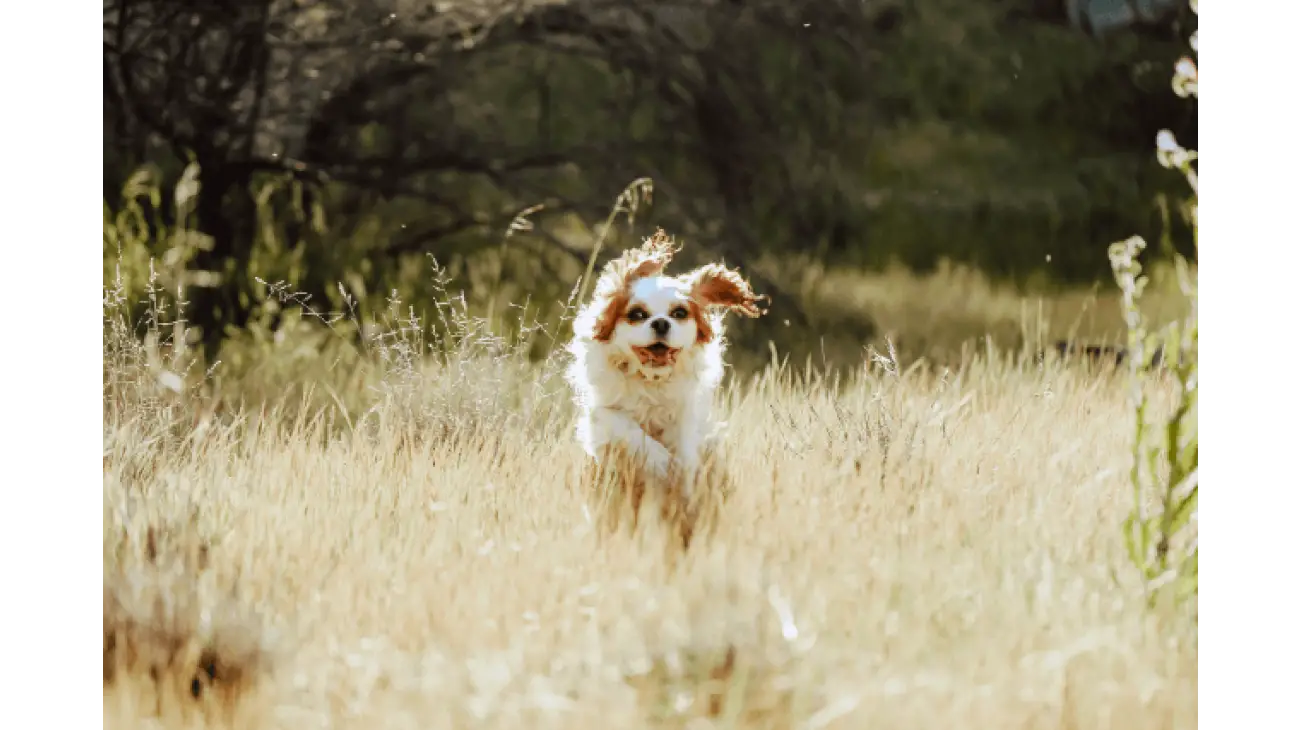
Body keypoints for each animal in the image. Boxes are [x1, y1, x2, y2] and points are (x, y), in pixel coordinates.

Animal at [566, 227, 764, 488]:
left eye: (679, 313)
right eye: (637, 314)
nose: (661, 322)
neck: (652, 380)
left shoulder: (685, 415)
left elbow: (684, 449)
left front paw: (680, 471)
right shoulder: (600, 412)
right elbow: (627, 428)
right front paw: (660, 460)